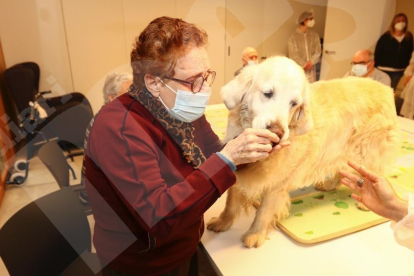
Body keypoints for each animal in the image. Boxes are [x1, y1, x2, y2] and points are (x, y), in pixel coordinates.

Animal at [209, 55, 400, 248]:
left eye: (294, 104)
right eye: (268, 93)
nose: (277, 133)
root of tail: (387, 89)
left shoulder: (277, 185)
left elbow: (263, 212)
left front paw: (255, 234)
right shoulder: (238, 169)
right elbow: (230, 204)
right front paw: (221, 222)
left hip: (368, 154)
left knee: (371, 174)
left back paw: (368, 202)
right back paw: (328, 185)